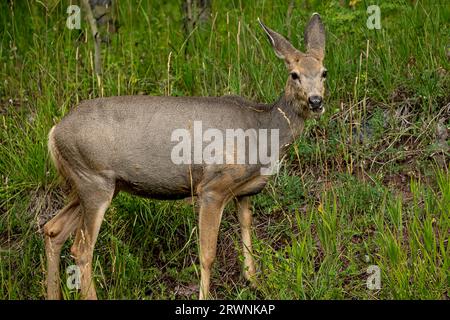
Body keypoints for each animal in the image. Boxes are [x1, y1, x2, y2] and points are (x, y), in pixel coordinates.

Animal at [44, 12, 326, 298]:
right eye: (294, 74)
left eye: (324, 72)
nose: (316, 101)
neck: (262, 130)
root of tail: (54, 132)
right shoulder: (213, 187)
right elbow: (207, 254)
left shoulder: (244, 191)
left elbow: (247, 231)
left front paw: (254, 282)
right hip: (94, 179)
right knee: (81, 249)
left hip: (91, 184)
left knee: (53, 229)